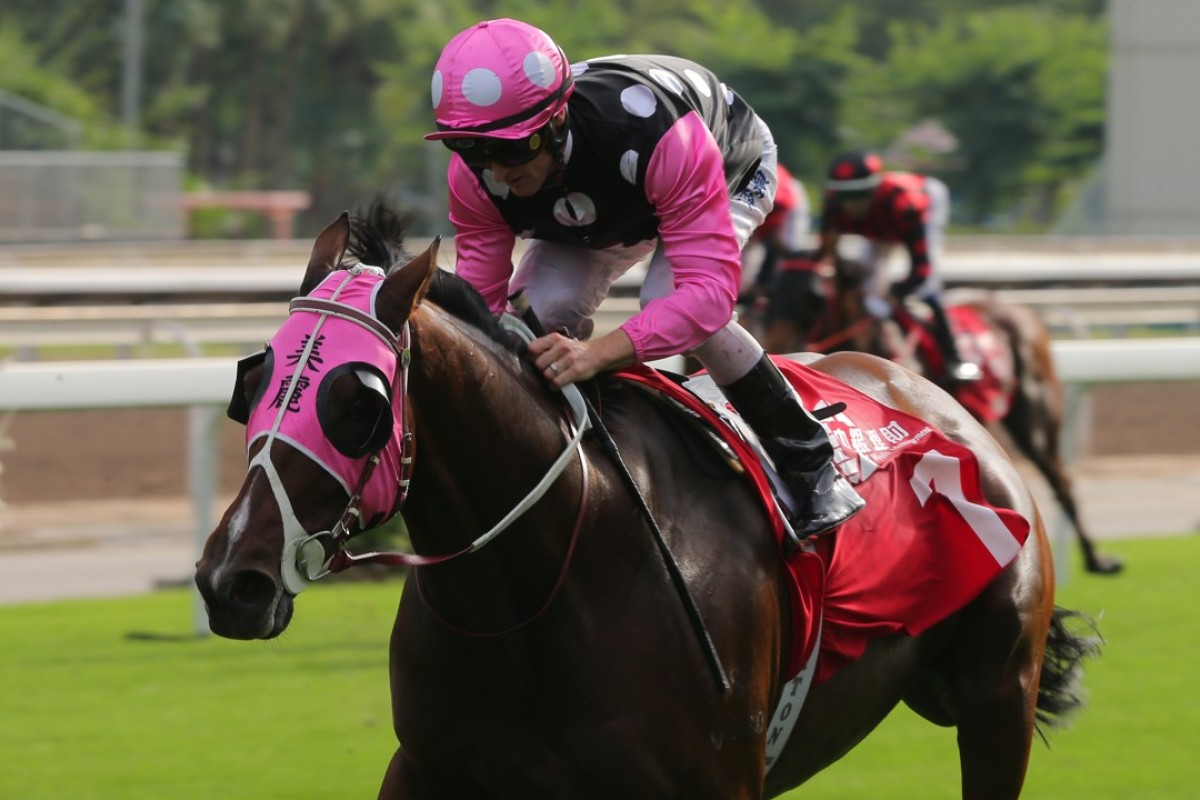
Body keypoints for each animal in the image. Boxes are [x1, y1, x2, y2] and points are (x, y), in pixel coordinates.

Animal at [758, 256, 1123, 575]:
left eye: (814, 296)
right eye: (771, 292)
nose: (773, 342)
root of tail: (1018, 308)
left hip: (1034, 417)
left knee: (1060, 479)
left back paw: (1098, 560)